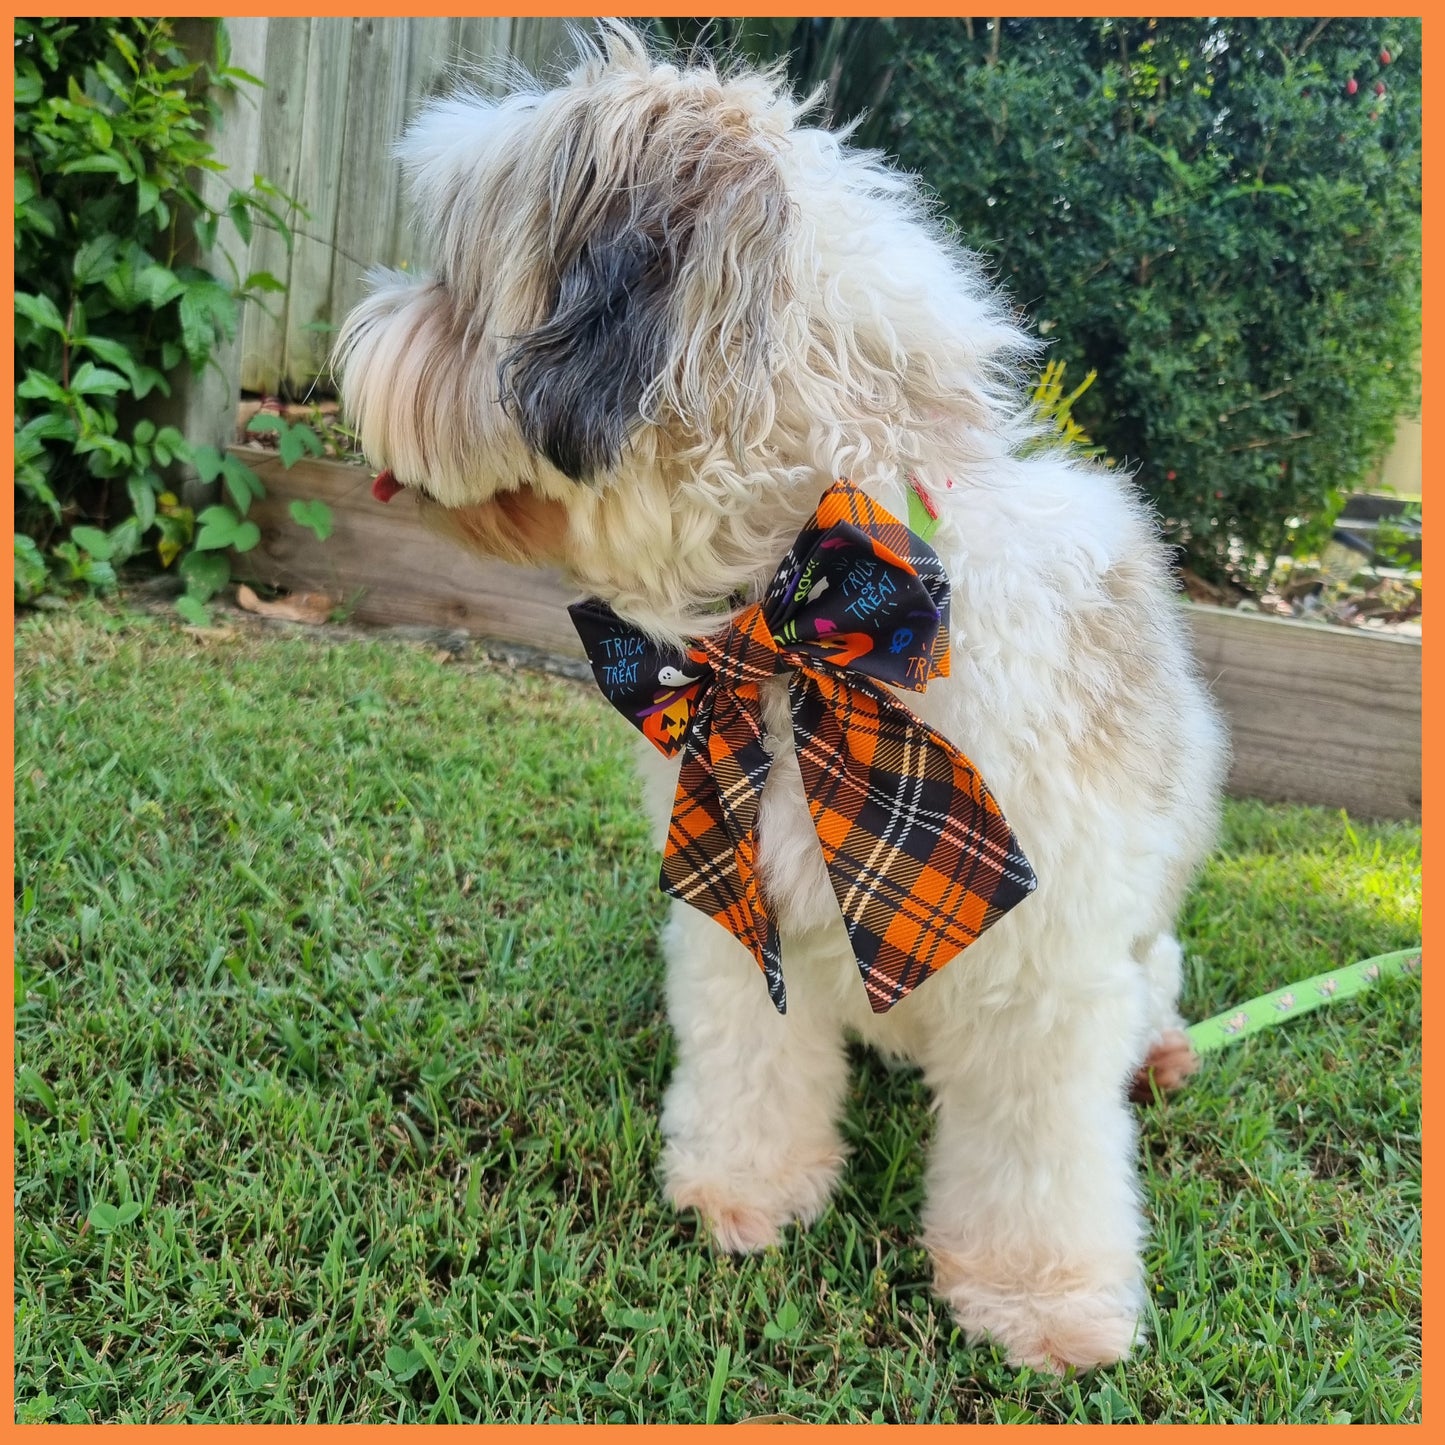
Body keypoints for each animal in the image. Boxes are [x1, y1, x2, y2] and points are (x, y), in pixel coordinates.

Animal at [338, 25, 1231, 1375]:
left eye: (451, 279)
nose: (351, 339)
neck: (816, 622)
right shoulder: (734, 896)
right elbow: (749, 1060)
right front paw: (742, 1187)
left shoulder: (1048, 970)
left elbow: (1038, 1160)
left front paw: (1043, 1300)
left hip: (1137, 956)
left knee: (1154, 994)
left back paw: (1165, 1054)